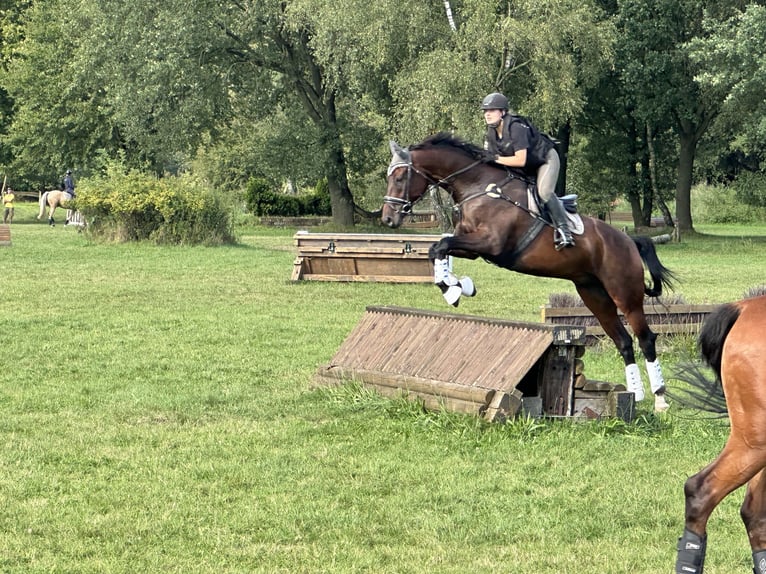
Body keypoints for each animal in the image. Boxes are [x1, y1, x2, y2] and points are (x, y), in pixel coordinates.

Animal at [381, 133, 676, 412]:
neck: (479, 188)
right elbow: (438, 248)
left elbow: (441, 246)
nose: (387, 218)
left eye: (399, 177)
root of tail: (629, 241)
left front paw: (454, 289)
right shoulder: (472, 245)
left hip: (624, 293)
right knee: (623, 341)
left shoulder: (491, 244)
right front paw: (456, 287)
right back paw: (635, 395)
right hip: (594, 294)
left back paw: (660, 399)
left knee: (645, 338)